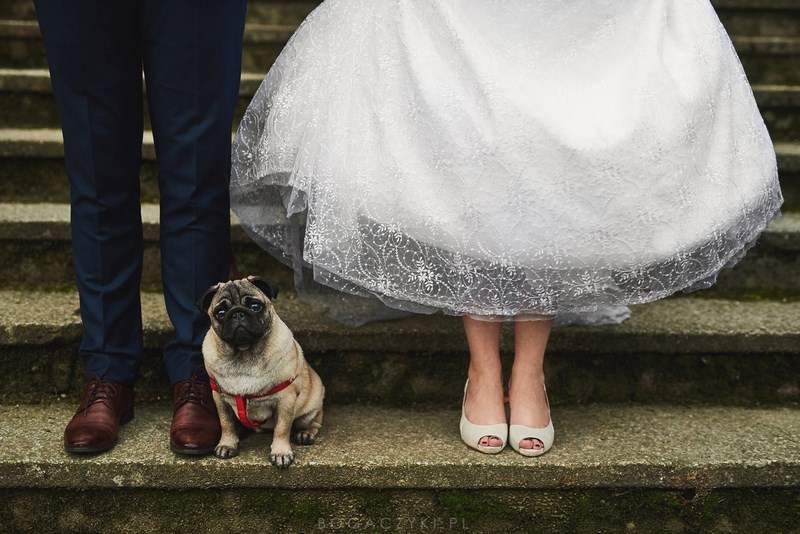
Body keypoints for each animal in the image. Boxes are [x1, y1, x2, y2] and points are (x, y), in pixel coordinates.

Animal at [198, 276, 324, 468]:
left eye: (255, 306)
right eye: (220, 312)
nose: (237, 313)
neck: (244, 354)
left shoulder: (286, 399)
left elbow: (282, 428)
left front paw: (281, 452)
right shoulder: (220, 399)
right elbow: (226, 423)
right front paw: (227, 444)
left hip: (311, 408)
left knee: (314, 423)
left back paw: (306, 434)